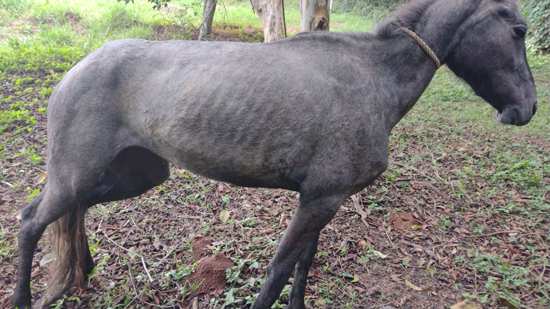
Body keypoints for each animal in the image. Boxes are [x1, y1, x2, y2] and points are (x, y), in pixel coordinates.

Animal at [14, 0, 540, 306]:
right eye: (517, 30)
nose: (528, 108)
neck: (373, 78)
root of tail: (77, 69)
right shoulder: (318, 200)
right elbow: (279, 271)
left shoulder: (323, 199)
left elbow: (304, 265)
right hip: (76, 174)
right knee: (31, 221)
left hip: (131, 175)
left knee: (72, 212)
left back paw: (80, 276)